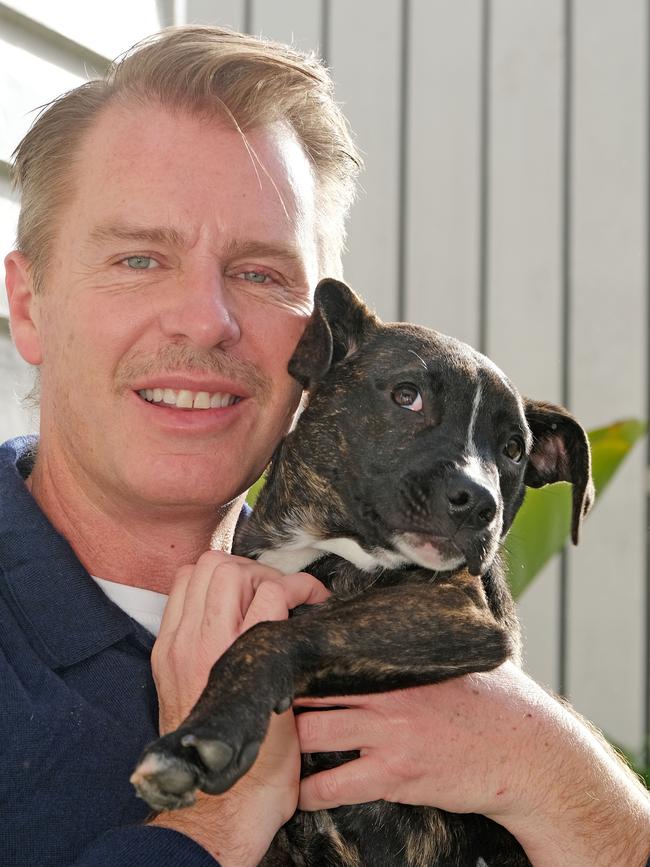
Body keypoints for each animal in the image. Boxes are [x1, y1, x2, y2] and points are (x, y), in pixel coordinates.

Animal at [130, 282, 592, 864]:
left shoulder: (459, 611)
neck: (317, 544)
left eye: (513, 450)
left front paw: (200, 737)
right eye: (406, 395)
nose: (480, 503)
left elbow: (278, 631)